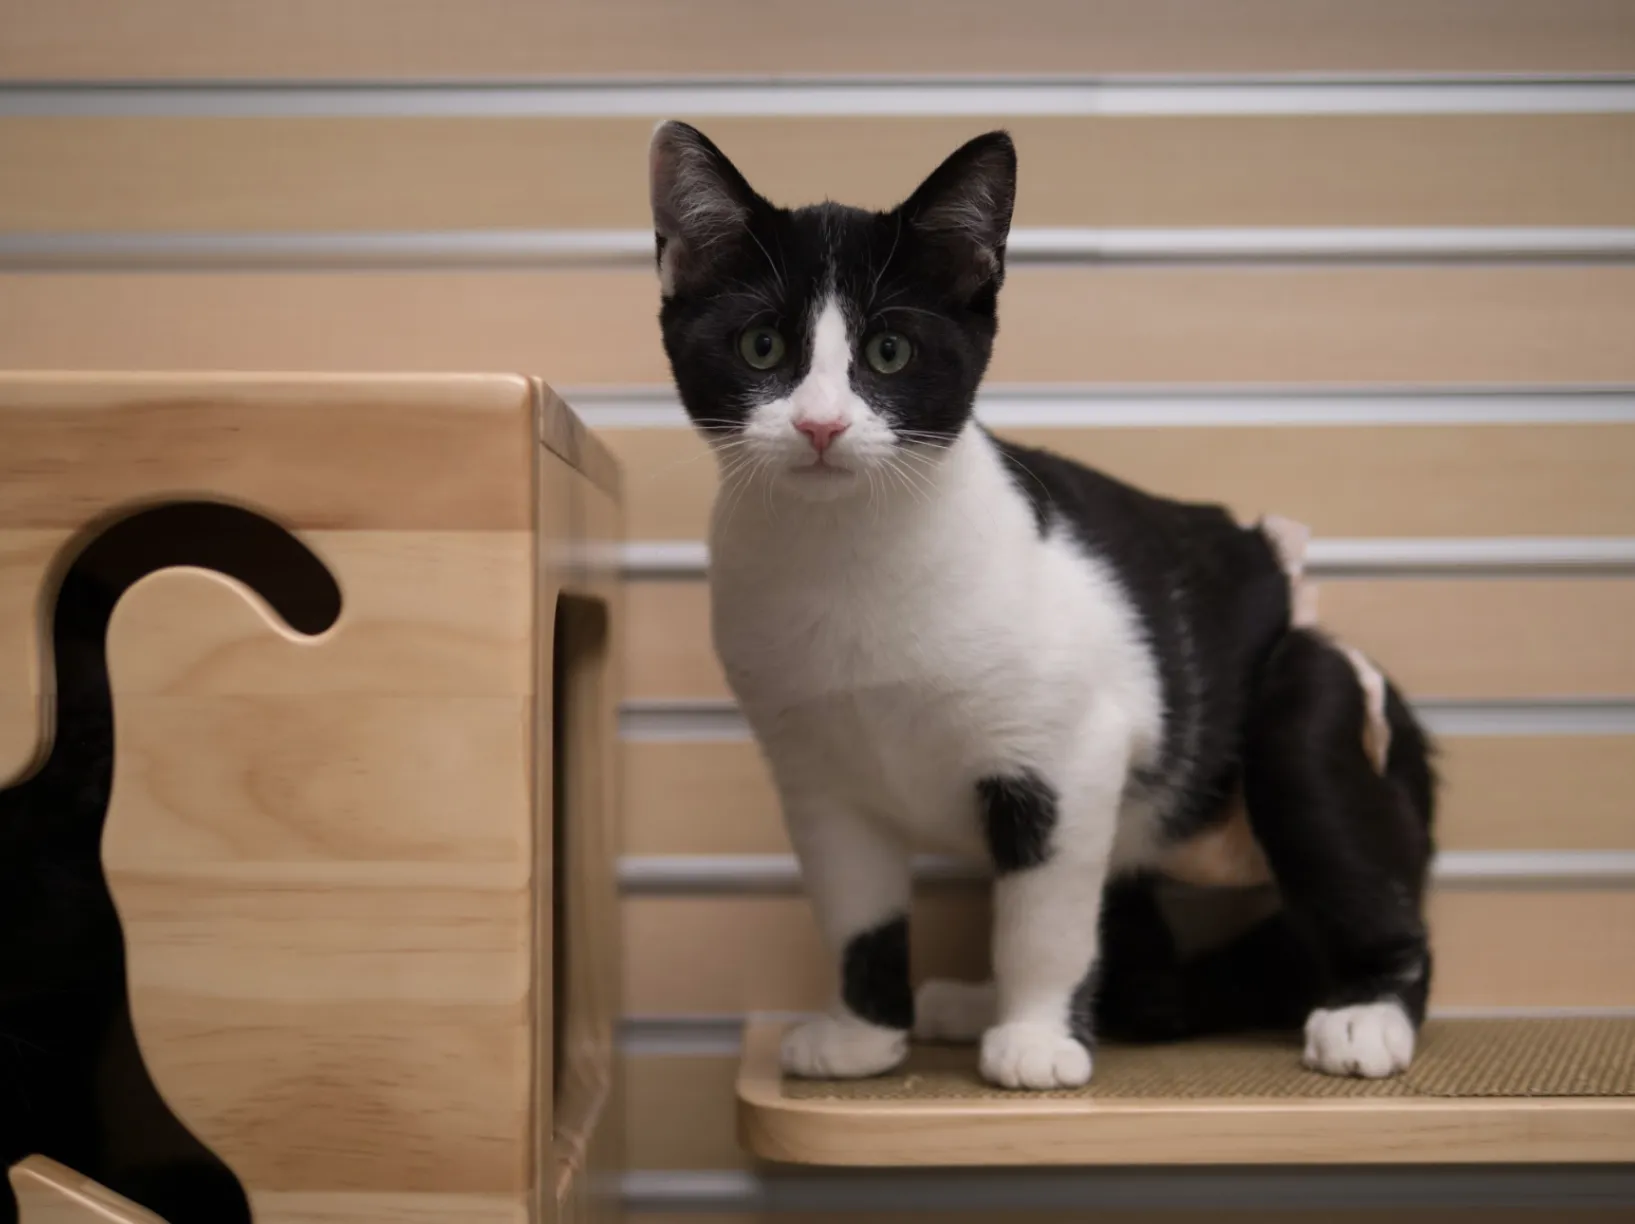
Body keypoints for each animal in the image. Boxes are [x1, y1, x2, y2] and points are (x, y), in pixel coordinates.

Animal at [644, 124, 1438, 1091]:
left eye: (888, 353)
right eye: (761, 347)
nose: (821, 426)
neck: (846, 557)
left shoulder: (1070, 753)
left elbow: (1043, 919)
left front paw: (1032, 1039)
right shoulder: (818, 784)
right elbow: (856, 911)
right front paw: (863, 1032)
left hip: (1306, 698)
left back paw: (1369, 1008)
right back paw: (973, 1003)